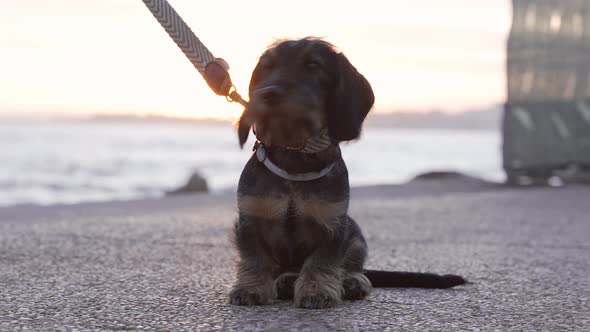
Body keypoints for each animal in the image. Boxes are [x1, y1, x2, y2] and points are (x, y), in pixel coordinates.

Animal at [231, 38, 468, 308]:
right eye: (266, 67)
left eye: (313, 65)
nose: (267, 93)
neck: (296, 158)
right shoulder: (250, 218)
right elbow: (254, 258)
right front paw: (249, 288)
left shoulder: (333, 226)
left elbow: (321, 262)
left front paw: (316, 290)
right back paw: (288, 279)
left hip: (355, 235)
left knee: (351, 267)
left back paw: (352, 281)